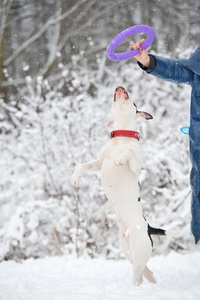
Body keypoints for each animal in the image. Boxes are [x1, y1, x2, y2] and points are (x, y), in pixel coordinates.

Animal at [70, 86, 170, 284]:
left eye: (134, 102)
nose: (120, 87)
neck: (122, 137)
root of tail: (148, 228)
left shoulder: (136, 166)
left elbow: (130, 152)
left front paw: (121, 158)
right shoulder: (100, 162)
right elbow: (83, 165)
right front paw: (76, 177)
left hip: (138, 251)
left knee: (139, 276)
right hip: (128, 251)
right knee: (146, 271)